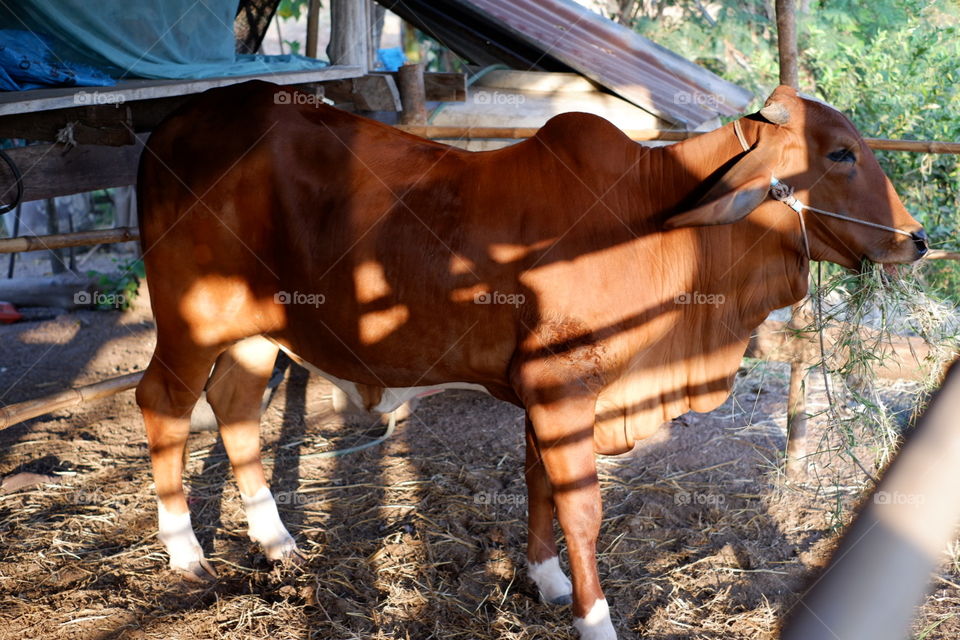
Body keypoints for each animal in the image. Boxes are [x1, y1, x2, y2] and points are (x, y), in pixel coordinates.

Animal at [135, 81, 927, 640]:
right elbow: (580, 506)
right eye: (840, 153)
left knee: (235, 407)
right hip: (189, 322)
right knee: (163, 405)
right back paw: (184, 553)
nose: (917, 240)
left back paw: (276, 540)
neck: (657, 218)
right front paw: (595, 620)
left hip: (255, 332)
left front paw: (546, 582)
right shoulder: (561, 385)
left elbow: (539, 482)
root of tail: (173, 125)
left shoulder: (547, 394)